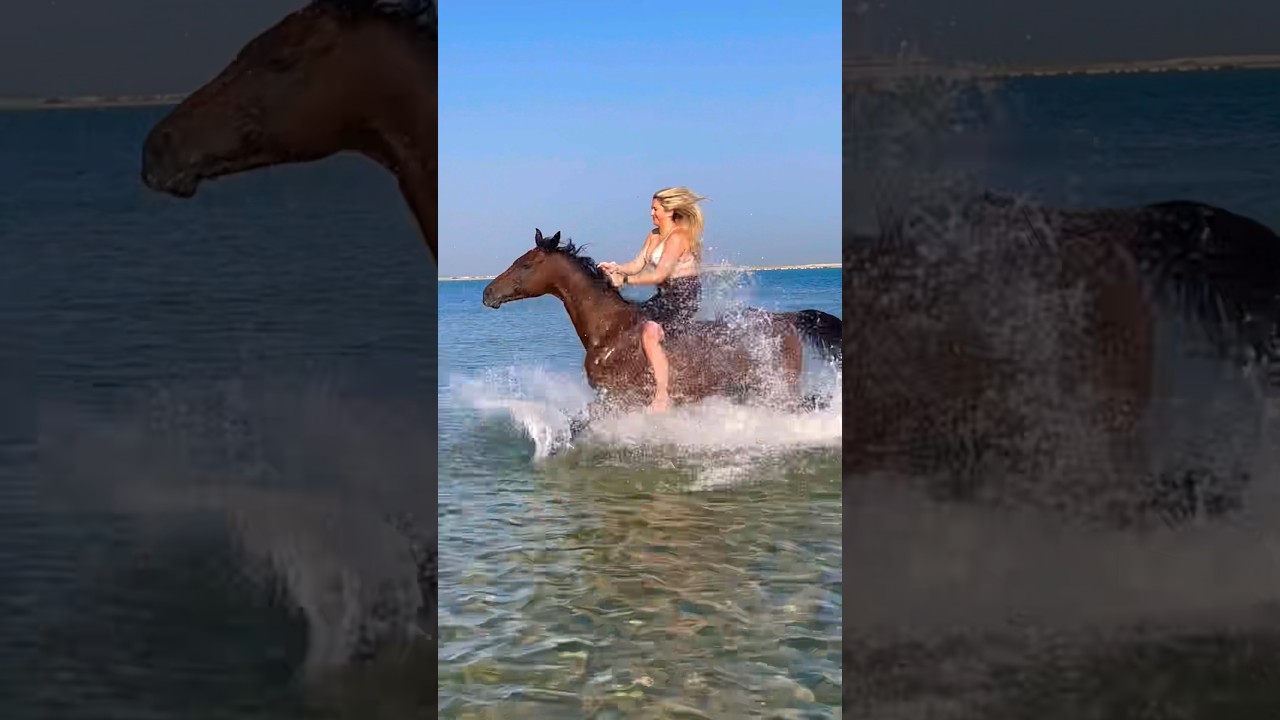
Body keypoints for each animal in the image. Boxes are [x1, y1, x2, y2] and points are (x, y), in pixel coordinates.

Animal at [482, 230, 842, 417]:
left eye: (526, 264)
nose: (487, 293)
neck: (609, 331)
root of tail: (788, 319)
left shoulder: (616, 400)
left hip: (778, 390)